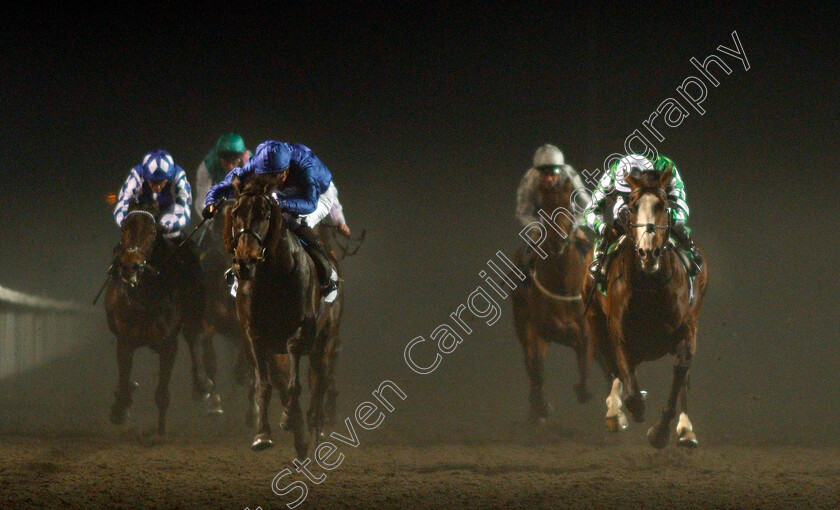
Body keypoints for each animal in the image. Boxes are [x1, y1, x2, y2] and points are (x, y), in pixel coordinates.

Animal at [105, 201, 210, 432]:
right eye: (125, 228)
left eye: (152, 232)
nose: (131, 266)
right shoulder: (124, 340)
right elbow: (124, 376)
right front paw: (120, 408)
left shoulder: (168, 344)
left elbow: (162, 393)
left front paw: (160, 430)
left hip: (193, 313)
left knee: (193, 338)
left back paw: (202, 386)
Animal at [225, 175, 342, 458]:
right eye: (235, 213)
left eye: (266, 214)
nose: (244, 262)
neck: (271, 277)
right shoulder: (255, 335)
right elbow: (265, 385)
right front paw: (262, 434)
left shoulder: (301, 330)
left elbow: (294, 382)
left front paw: (290, 418)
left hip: (326, 342)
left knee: (319, 385)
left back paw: (314, 434)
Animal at [508, 177, 592, 424]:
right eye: (544, 208)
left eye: (568, 206)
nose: (557, 240)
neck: (562, 286)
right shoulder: (537, 330)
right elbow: (536, 367)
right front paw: (541, 406)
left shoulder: (585, 330)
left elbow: (585, 363)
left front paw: (583, 389)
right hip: (521, 321)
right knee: (531, 364)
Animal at [584, 167, 708, 446]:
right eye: (632, 206)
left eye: (663, 205)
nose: (648, 252)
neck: (649, 287)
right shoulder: (619, 335)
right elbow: (626, 383)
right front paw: (628, 409)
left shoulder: (686, 330)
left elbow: (681, 372)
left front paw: (661, 432)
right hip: (595, 323)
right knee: (610, 367)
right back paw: (614, 411)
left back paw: (686, 430)